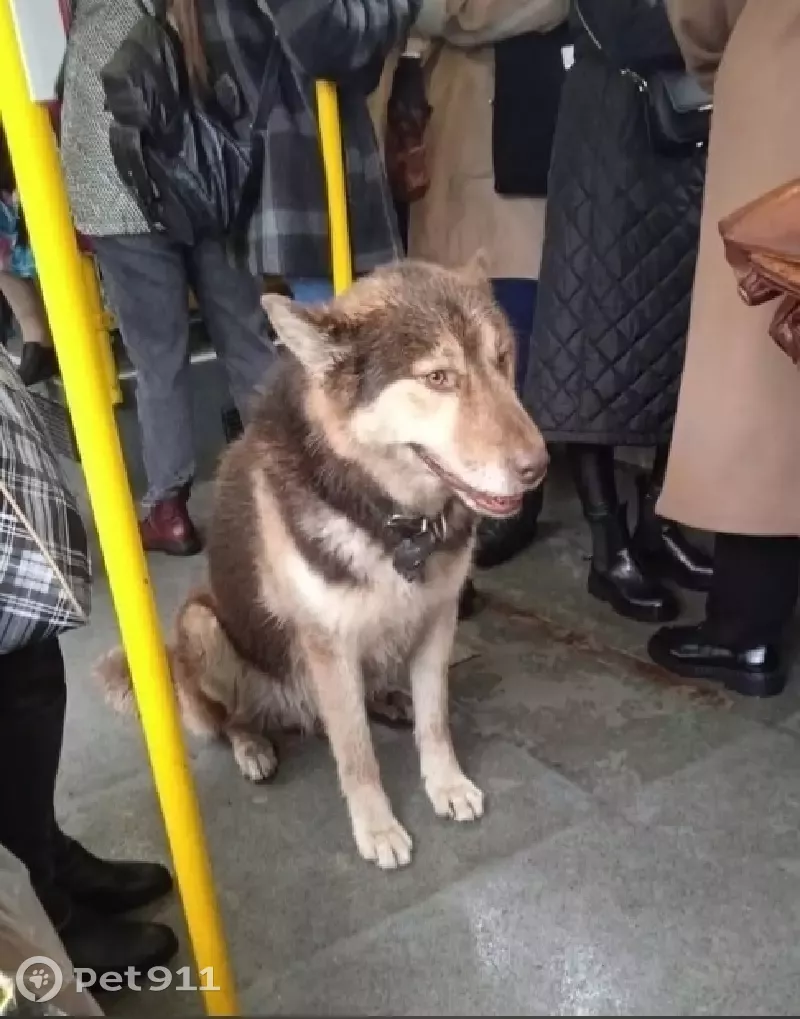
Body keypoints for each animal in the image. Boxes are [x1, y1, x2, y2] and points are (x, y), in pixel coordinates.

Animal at [97, 258, 548, 869]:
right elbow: (356, 753)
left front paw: (446, 783)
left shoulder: (438, 620)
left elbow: (435, 720)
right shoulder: (329, 648)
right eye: (438, 378)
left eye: (502, 358)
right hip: (202, 625)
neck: (393, 517)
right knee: (228, 718)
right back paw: (253, 744)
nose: (539, 468)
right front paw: (377, 826)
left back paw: (389, 699)